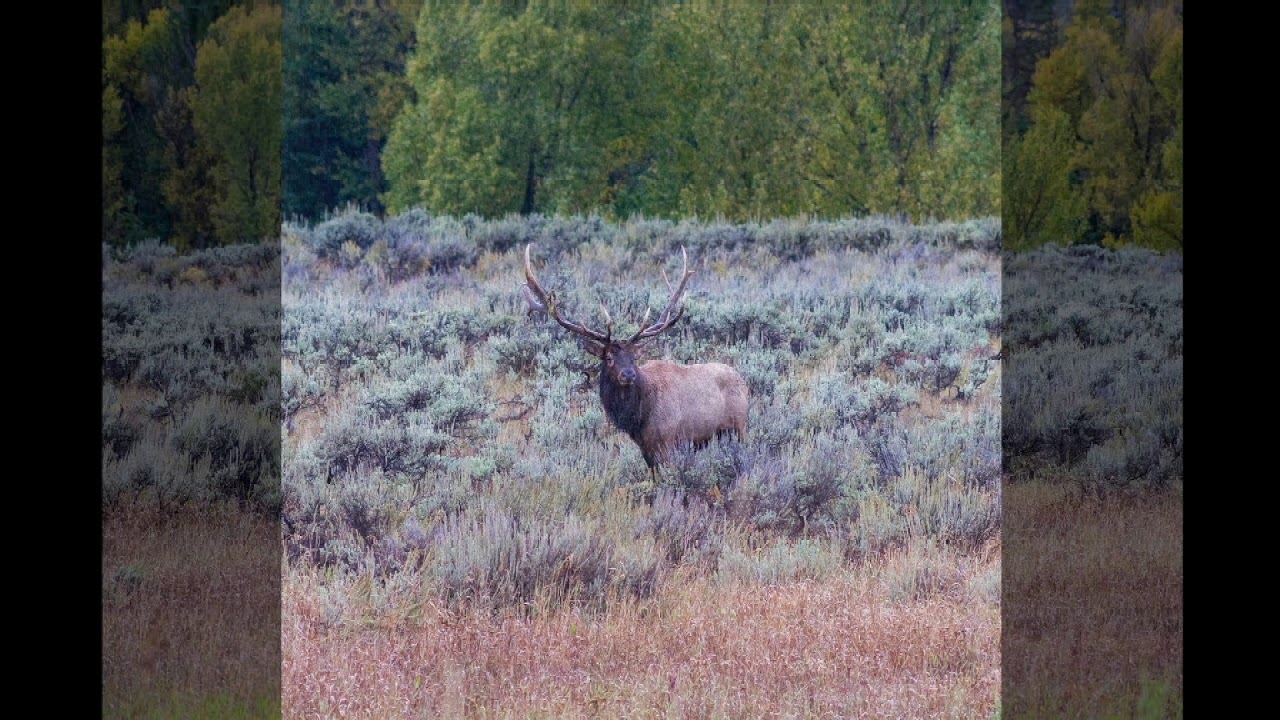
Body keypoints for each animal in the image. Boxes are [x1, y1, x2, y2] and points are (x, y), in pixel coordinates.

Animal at [521, 244, 748, 472]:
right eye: (609, 357)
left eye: (633, 358)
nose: (628, 374)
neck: (637, 418)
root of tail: (743, 381)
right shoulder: (645, 448)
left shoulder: (669, 442)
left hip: (738, 427)